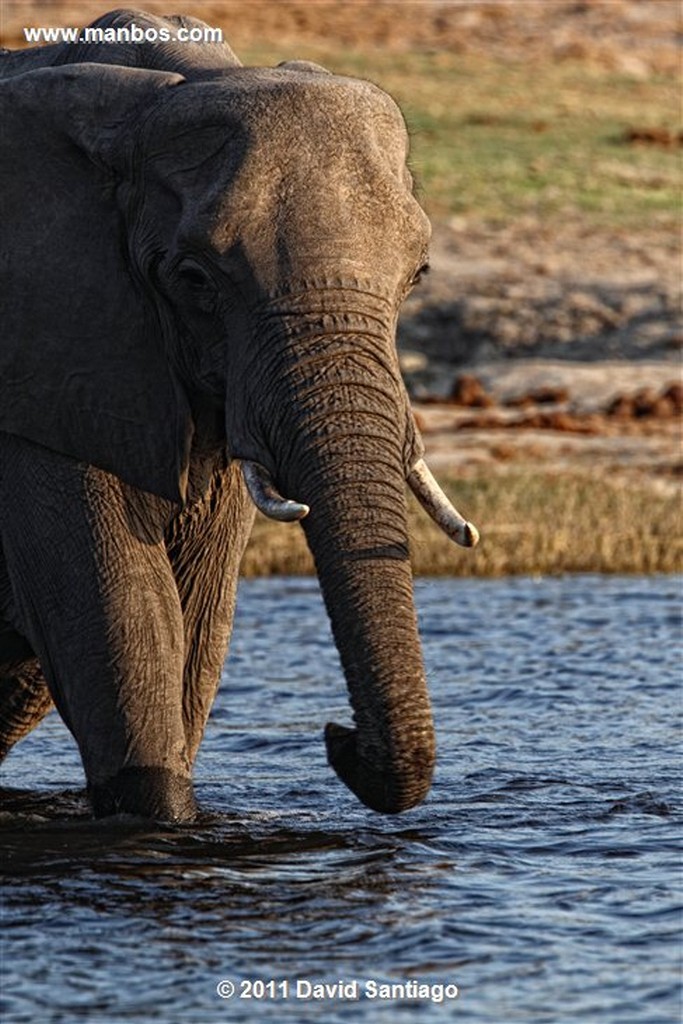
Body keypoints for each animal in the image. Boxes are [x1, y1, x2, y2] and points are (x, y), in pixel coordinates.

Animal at [0, 8, 475, 819]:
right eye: (195, 279)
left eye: (418, 275)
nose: (337, 735)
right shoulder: (39, 367)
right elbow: (122, 620)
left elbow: (193, 627)